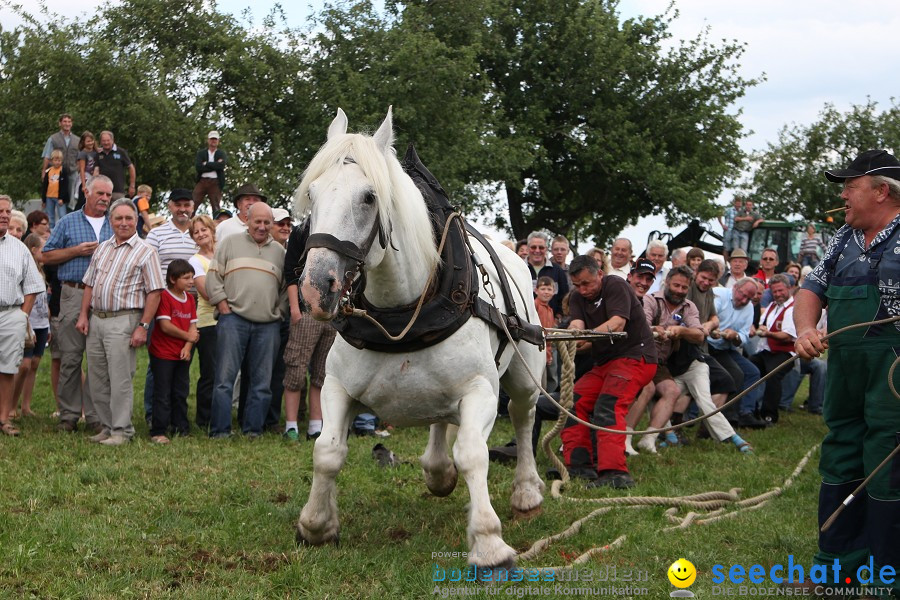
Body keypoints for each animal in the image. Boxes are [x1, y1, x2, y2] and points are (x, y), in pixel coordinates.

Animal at [296, 108, 544, 572]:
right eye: (313, 194)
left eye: (369, 197)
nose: (317, 287)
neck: (405, 309)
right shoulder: (336, 387)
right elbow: (327, 451)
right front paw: (317, 524)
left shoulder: (481, 390)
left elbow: (474, 452)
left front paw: (489, 542)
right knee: (440, 418)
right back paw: (437, 470)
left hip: (522, 376)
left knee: (522, 419)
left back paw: (526, 489)